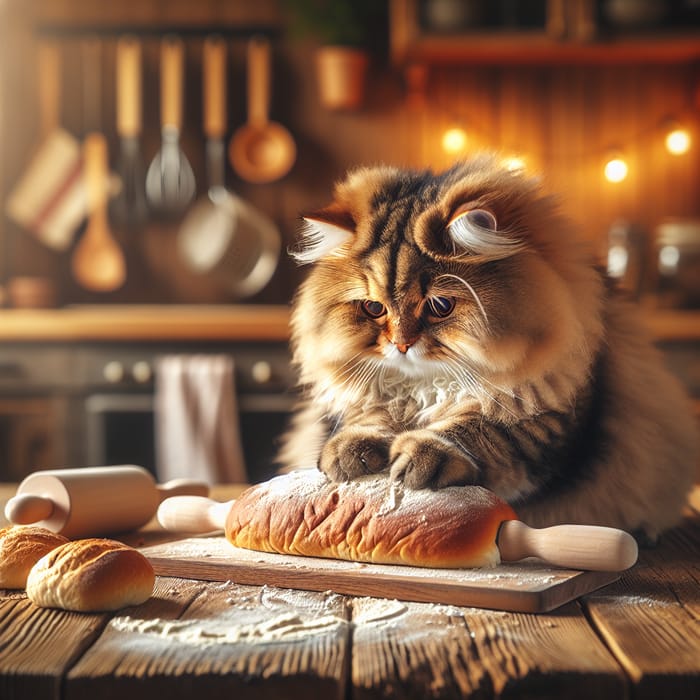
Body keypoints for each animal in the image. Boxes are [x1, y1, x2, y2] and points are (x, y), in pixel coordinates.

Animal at [278, 156, 696, 540]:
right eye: (374, 308)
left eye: (439, 306)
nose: (401, 344)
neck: (429, 390)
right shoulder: (362, 401)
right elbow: (366, 420)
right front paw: (349, 453)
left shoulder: (543, 422)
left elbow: (476, 430)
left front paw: (419, 456)